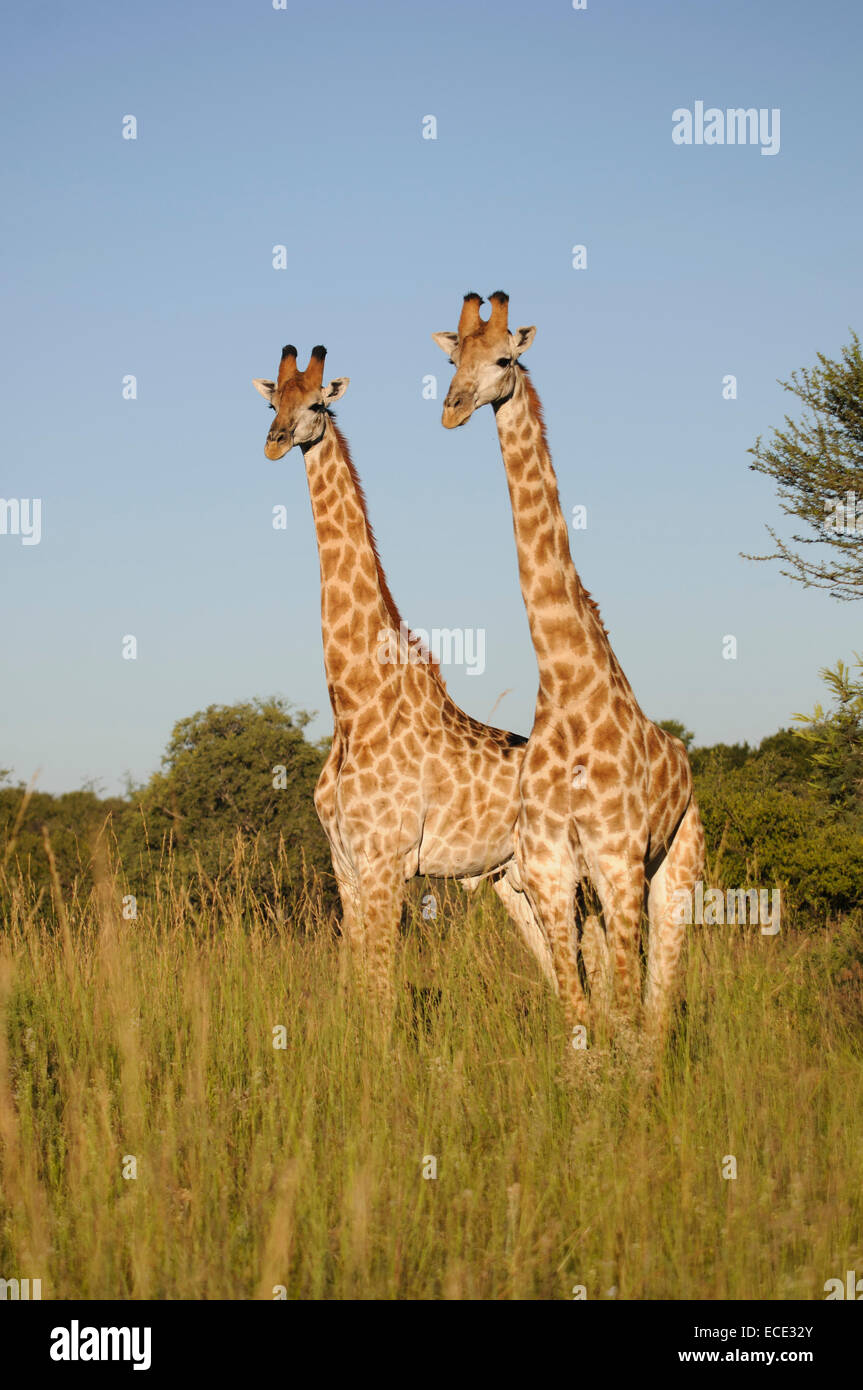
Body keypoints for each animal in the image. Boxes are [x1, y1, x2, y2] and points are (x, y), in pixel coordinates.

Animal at [250, 341, 558, 1006]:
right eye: (270, 402)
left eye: (315, 405)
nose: (275, 442)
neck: (354, 703)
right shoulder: (345, 863)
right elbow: (353, 980)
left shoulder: (387, 860)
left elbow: (381, 991)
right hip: (510, 878)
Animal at [433, 296, 703, 1034]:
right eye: (452, 358)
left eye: (503, 359)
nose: (452, 408)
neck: (565, 679)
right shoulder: (552, 872)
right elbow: (583, 1019)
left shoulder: (618, 863)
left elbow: (626, 1018)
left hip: (675, 869)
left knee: (656, 1011)